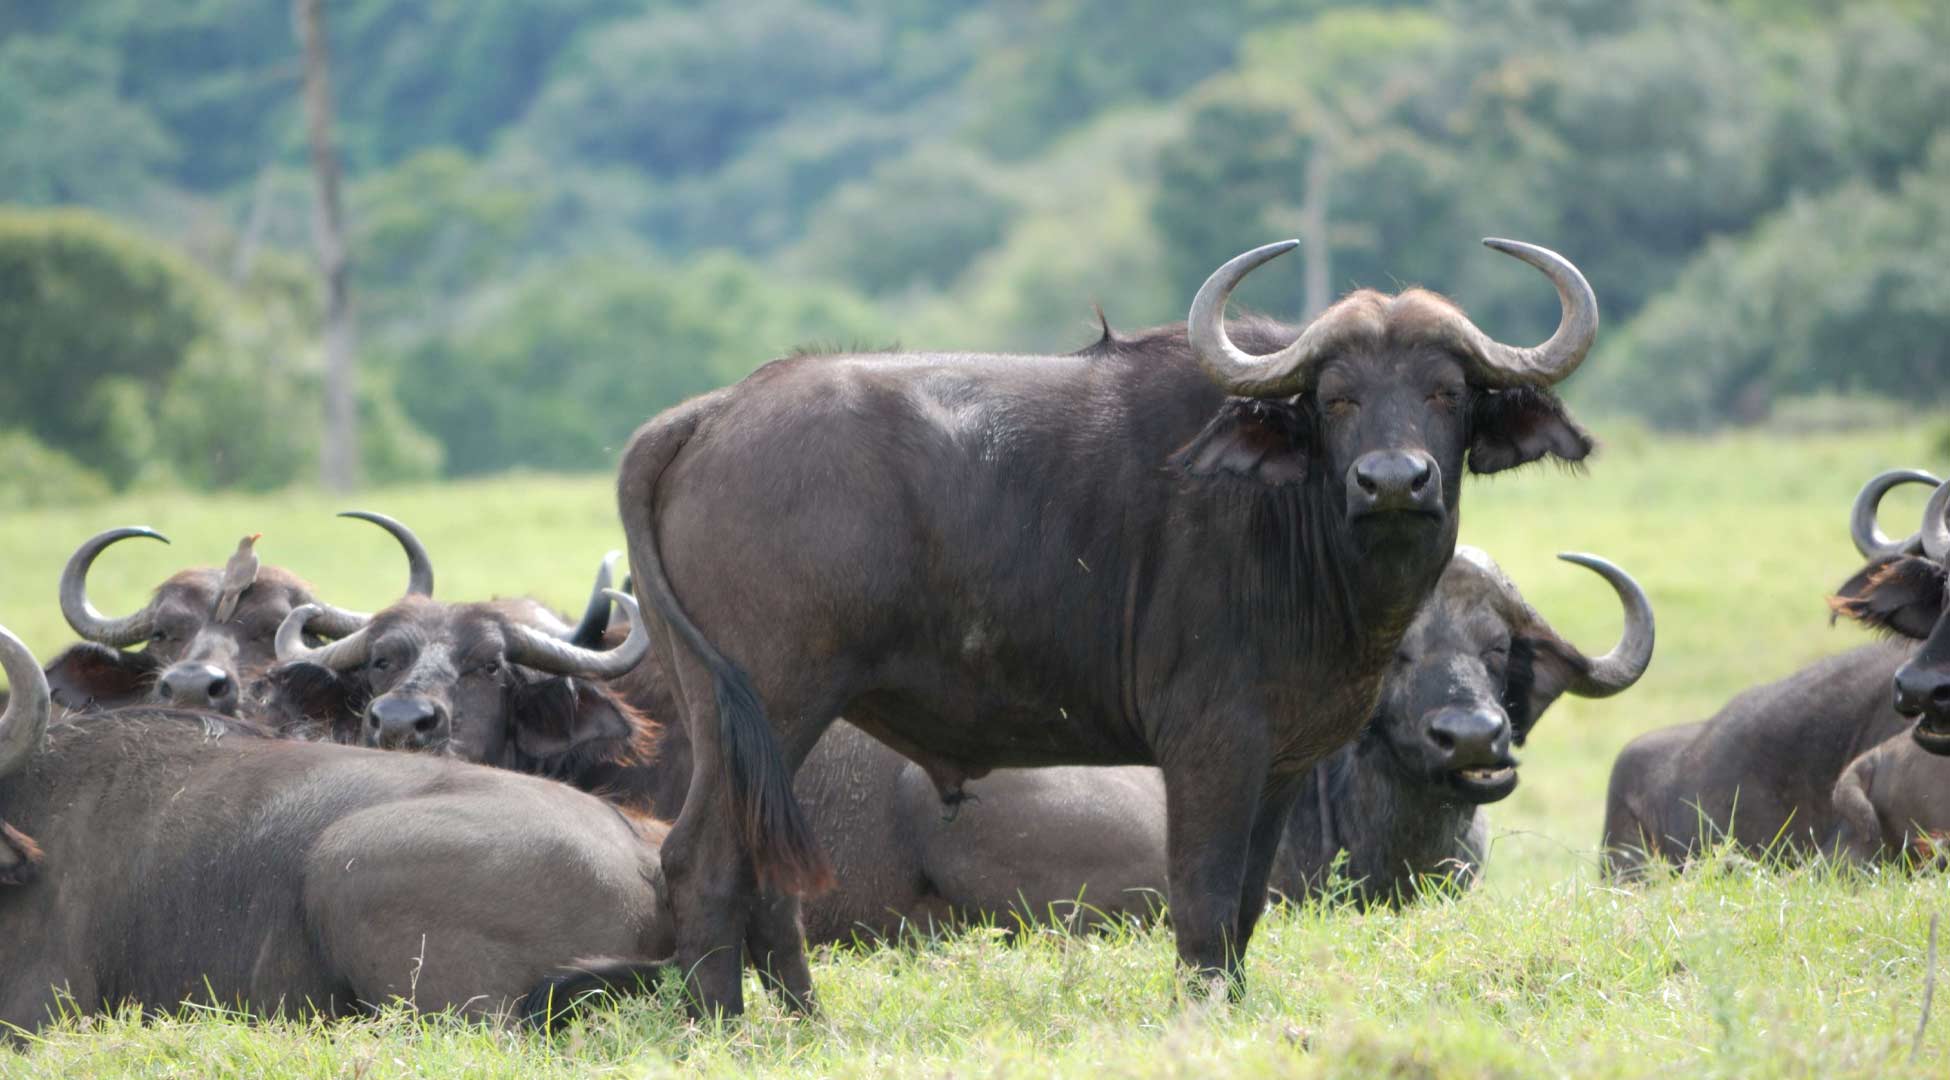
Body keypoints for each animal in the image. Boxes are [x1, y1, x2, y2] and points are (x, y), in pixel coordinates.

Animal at [612, 235, 1599, 1005]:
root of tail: (711, 413)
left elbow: (1246, 906)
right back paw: (725, 1028)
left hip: (737, 723)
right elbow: (1202, 899)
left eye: (1446, 392)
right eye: (1336, 397)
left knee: (761, 873)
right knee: (703, 863)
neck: (1300, 529)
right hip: (772, 704)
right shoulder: (1208, 747)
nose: (1394, 481)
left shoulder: (1281, 762)